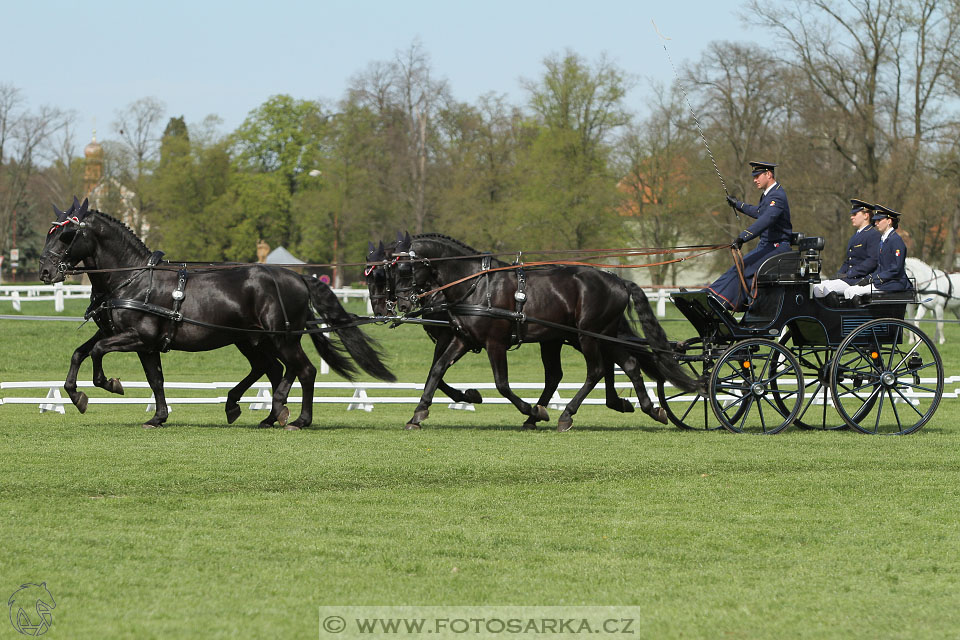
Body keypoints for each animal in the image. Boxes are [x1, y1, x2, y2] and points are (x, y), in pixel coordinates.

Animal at [38, 199, 394, 430]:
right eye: (49, 233)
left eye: (66, 235)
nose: (44, 271)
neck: (134, 279)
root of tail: (296, 277)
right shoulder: (135, 340)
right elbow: (96, 358)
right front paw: (153, 415)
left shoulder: (138, 337)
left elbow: (98, 354)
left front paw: (109, 384)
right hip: (253, 340)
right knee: (274, 369)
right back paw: (265, 412)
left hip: (280, 338)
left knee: (302, 370)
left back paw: (297, 419)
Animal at [386, 234, 700, 430]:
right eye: (392, 270)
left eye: (406, 269)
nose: (401, 303)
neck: (476, 285)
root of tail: (618, 280)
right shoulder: (463, 339)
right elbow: (437, 369)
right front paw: (418, 413)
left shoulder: (495, 343)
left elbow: (502, 384)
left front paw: (532, 410)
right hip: (597, 335)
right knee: (629, 364)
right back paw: (650, 409)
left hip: (587, 335)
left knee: (596, 370)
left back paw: (566, 415)